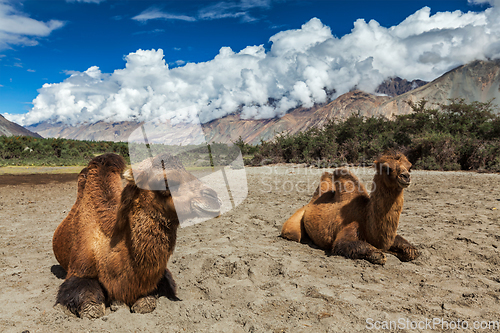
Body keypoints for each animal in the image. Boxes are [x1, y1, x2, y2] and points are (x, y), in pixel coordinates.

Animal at [52, 152, 221, 318]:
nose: (214, 199)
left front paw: (122, 303)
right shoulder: (78, 271)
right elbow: (93, 309)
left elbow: (146, 303)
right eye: (164, 182)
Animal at [284, 151, 420, 264]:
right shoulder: (350, 227)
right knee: (293, 233)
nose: (406, 176)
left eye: (410, 167)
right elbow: (375, 254)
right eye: (387, 168)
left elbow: (413, 251)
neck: (366, 217)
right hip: (294, 225)